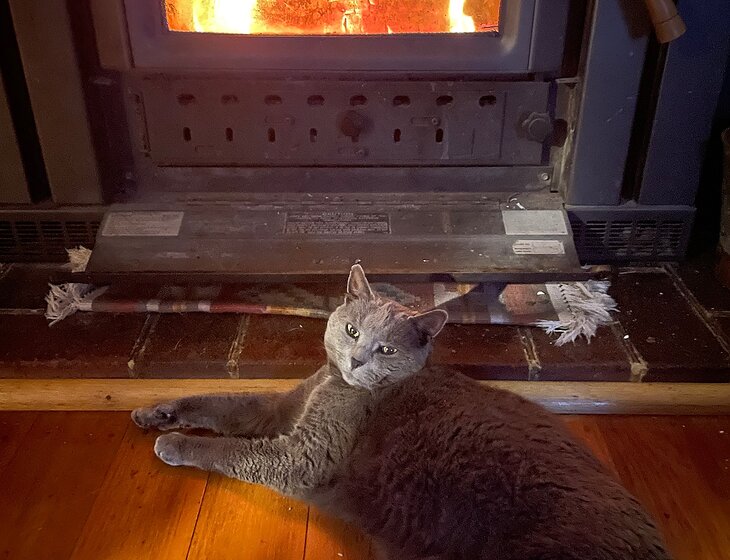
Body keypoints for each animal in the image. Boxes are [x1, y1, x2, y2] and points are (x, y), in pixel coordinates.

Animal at [132, 265, 670, 560]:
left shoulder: (306, 452)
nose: (356, 359)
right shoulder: (280, 408)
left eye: (387, 350)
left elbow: (228, 449)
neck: (334, 384)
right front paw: (156, 413)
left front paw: (174, 443)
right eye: (351, 331)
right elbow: (220, 402)